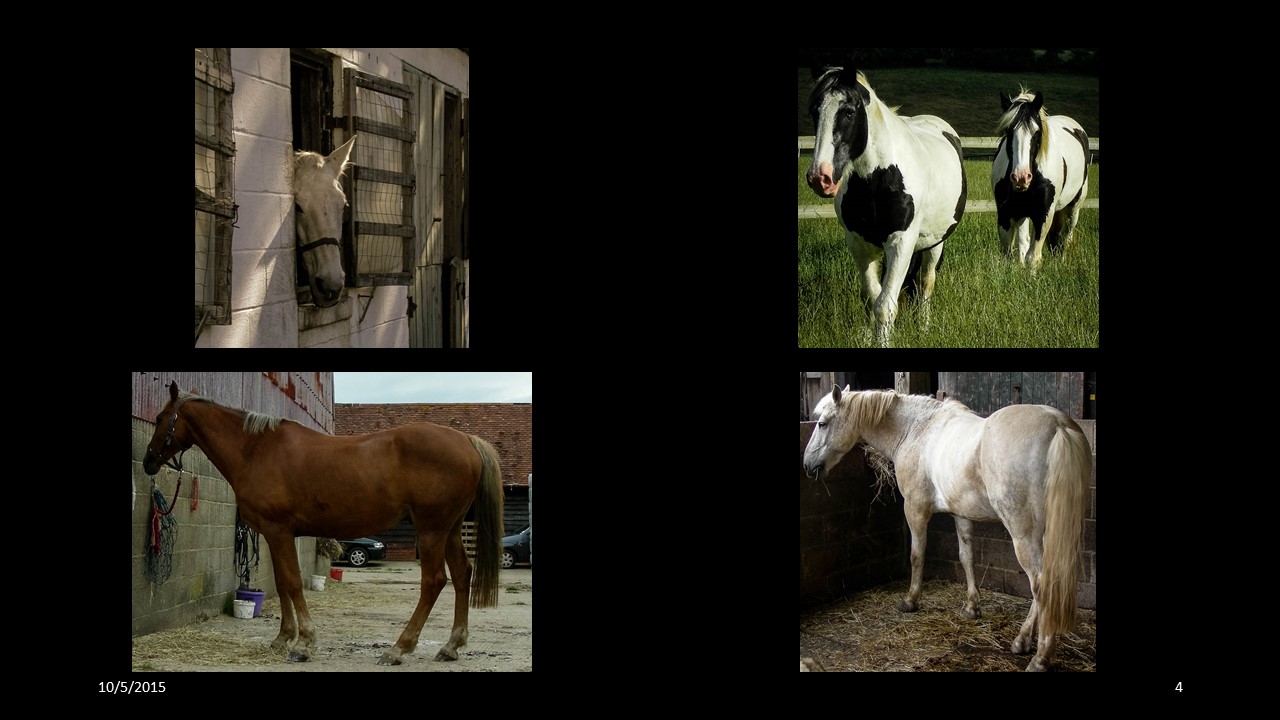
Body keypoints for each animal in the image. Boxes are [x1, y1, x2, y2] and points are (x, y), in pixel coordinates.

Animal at [142, 380, 503, 666]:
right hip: (450, 530)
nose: (148, 461)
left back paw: (398, 649)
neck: (255, 450)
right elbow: (281, 582)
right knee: (462, 575)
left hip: (431, 530)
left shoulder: (279, 531)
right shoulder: (274, 534)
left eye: (160, 418)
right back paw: (451, 646)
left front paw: (303, 643)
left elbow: (292, 582)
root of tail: (467, 441)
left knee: (434, 581)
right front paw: (283, 637)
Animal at [802, 386, 1090, 672]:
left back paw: (1038, 656)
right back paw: (1024, 641)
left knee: (1041, 584)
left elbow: (917, 556)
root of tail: (1058, 426)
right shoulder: (961, 515)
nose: (807, 465)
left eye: (822, 423)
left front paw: (911, 600)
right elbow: (966, 558)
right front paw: (972, 607)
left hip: (1024, 534)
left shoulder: (915, 509)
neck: (915, 430)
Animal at [805, 67, 967, 347]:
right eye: (815, 111)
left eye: (849, 111)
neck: (879, 177)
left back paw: (923, 327)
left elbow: (885, 304)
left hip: (935, 243)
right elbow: (873, 296)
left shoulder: (901, 242)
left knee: (925, 283)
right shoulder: (859, 244)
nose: (820, 177)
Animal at [991, 88, 1090, 269]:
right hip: (1022, 213)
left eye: (1037, 133)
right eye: (1008, 131)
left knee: (1065, 237)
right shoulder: (1005, 213)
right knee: (1025, 242)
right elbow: (1008, 255)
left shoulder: (1043, 215)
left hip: (1073, 209)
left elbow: (1033, 258)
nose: (1021, 177)